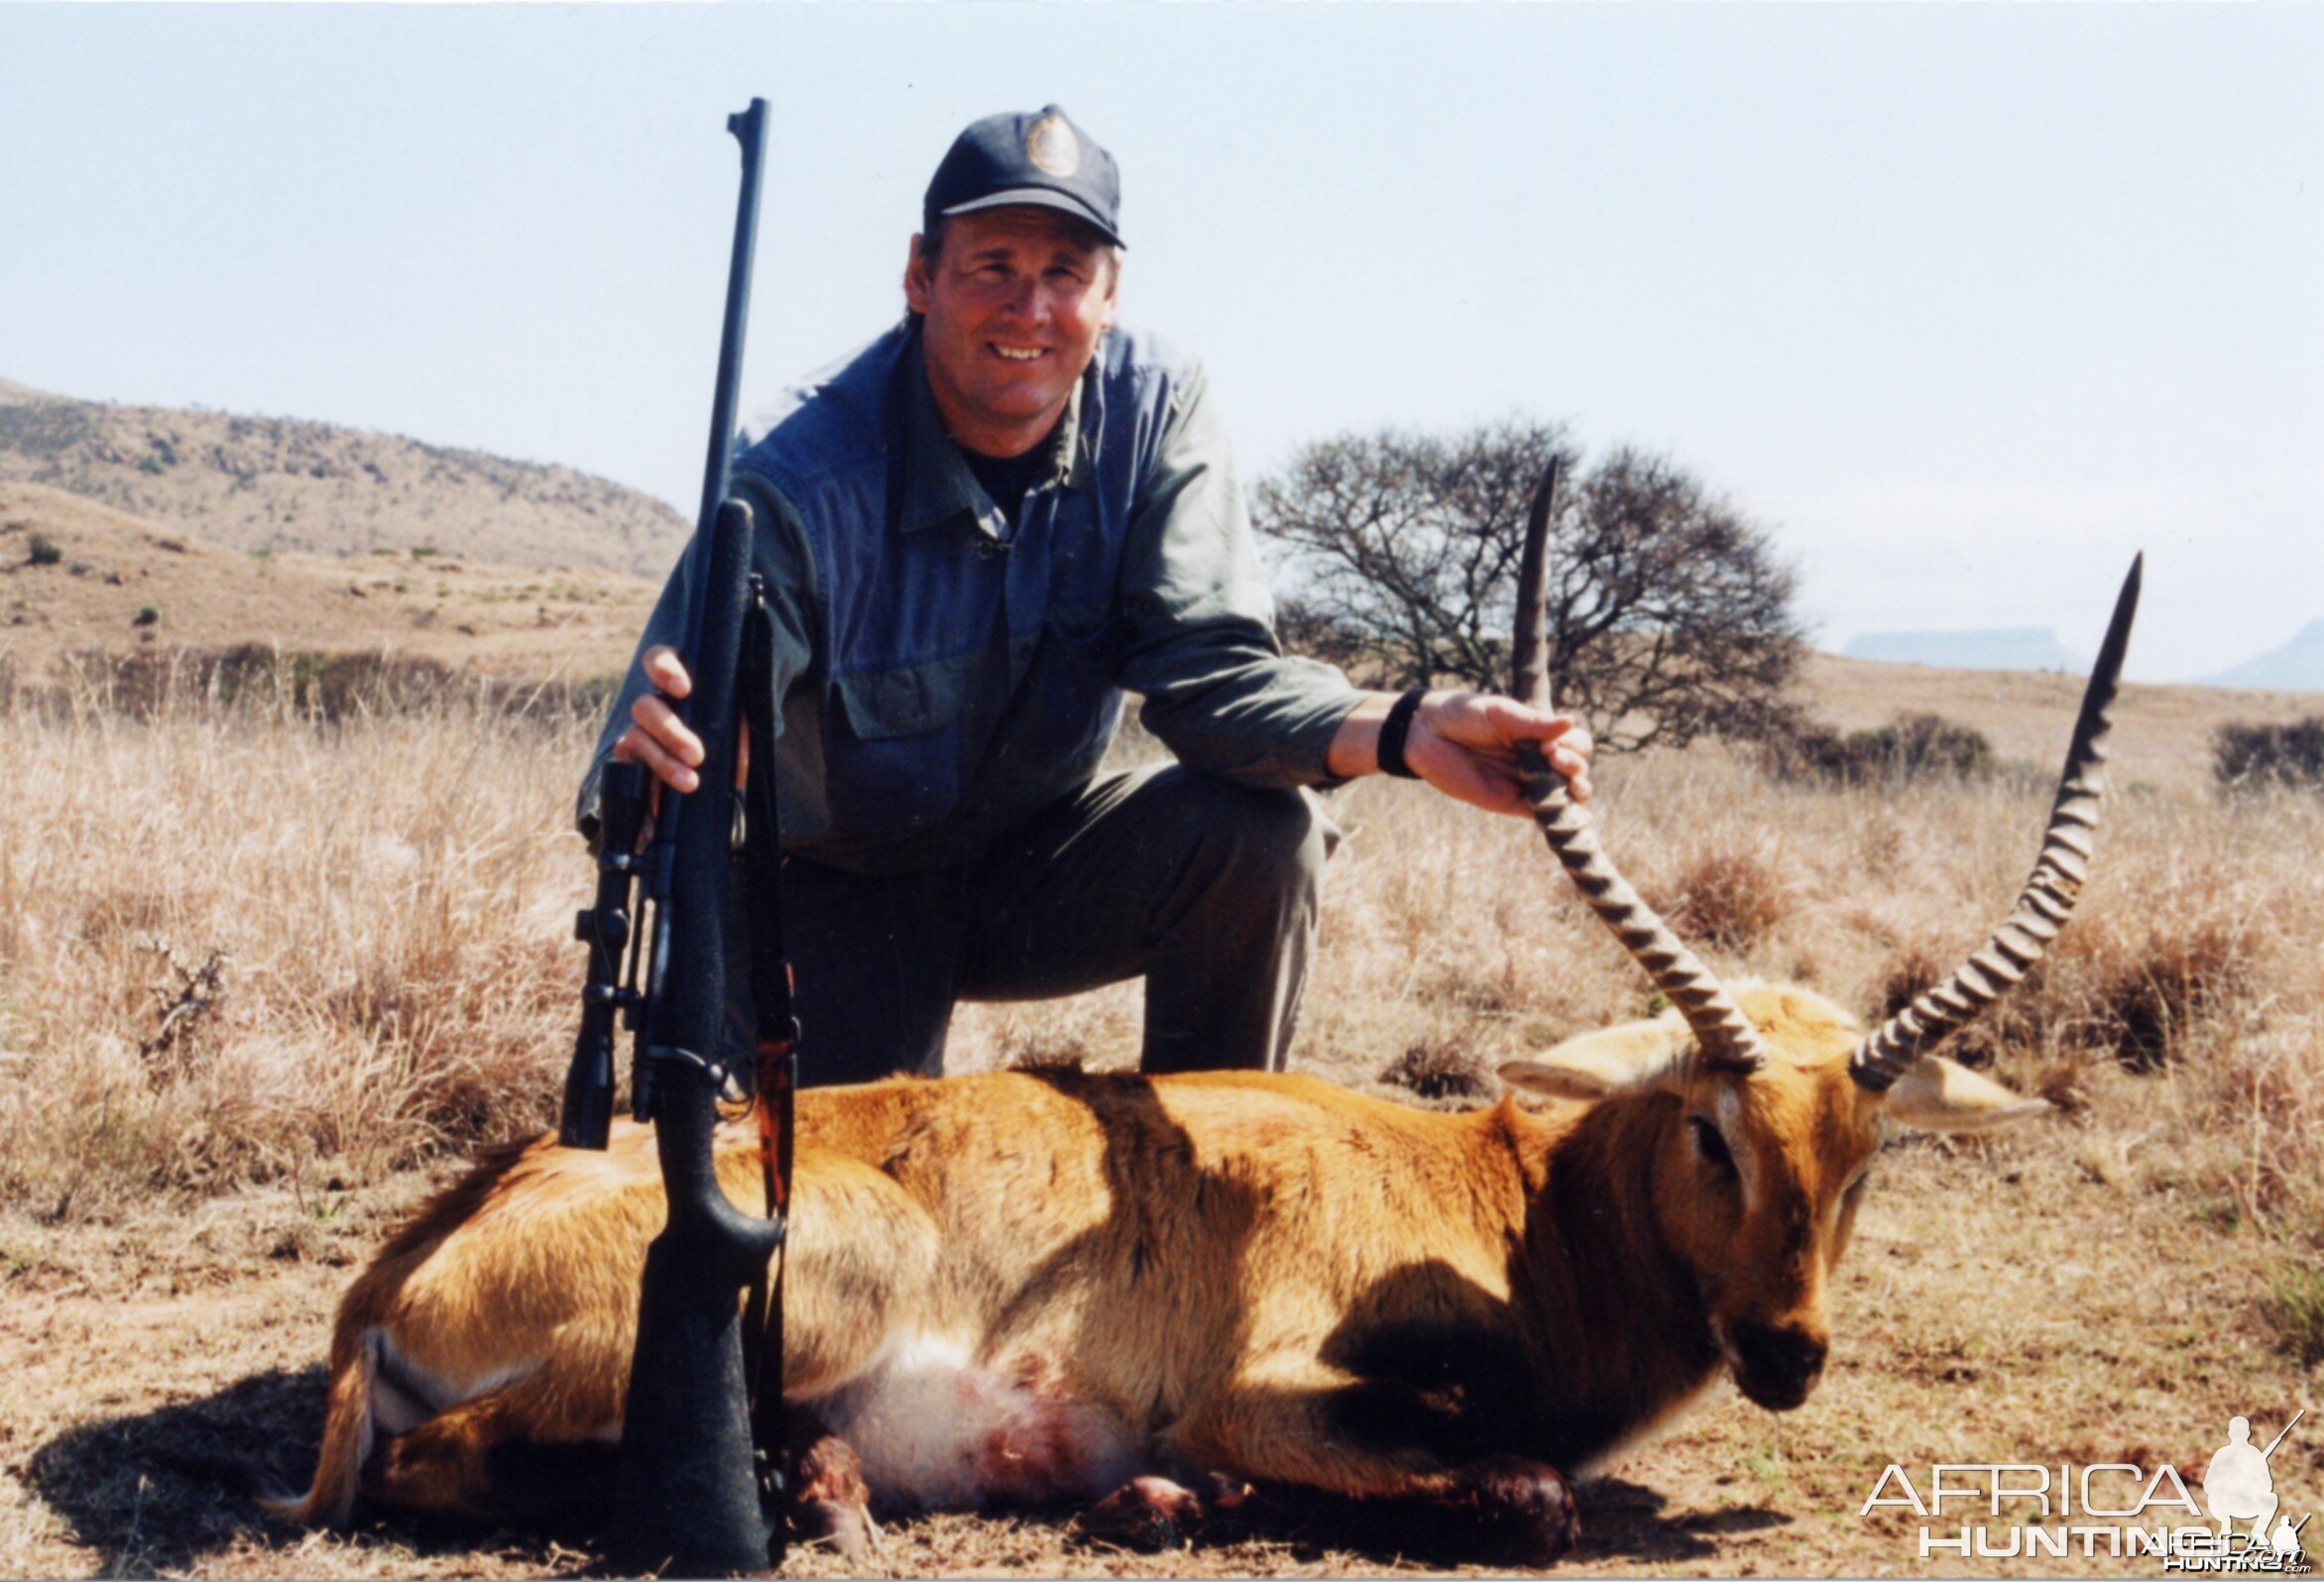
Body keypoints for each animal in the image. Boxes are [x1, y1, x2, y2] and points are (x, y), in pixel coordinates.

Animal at [267, 548, 2138, 1560]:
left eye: (1865, 1157)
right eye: (1708, 1128)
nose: (1786, 1353)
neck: (1506, 1201)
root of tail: (405, 1265)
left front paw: (1163, 1502)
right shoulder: (1272, 1382)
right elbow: (1514, 1481)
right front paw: (1194, 1489)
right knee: (453, 1464)